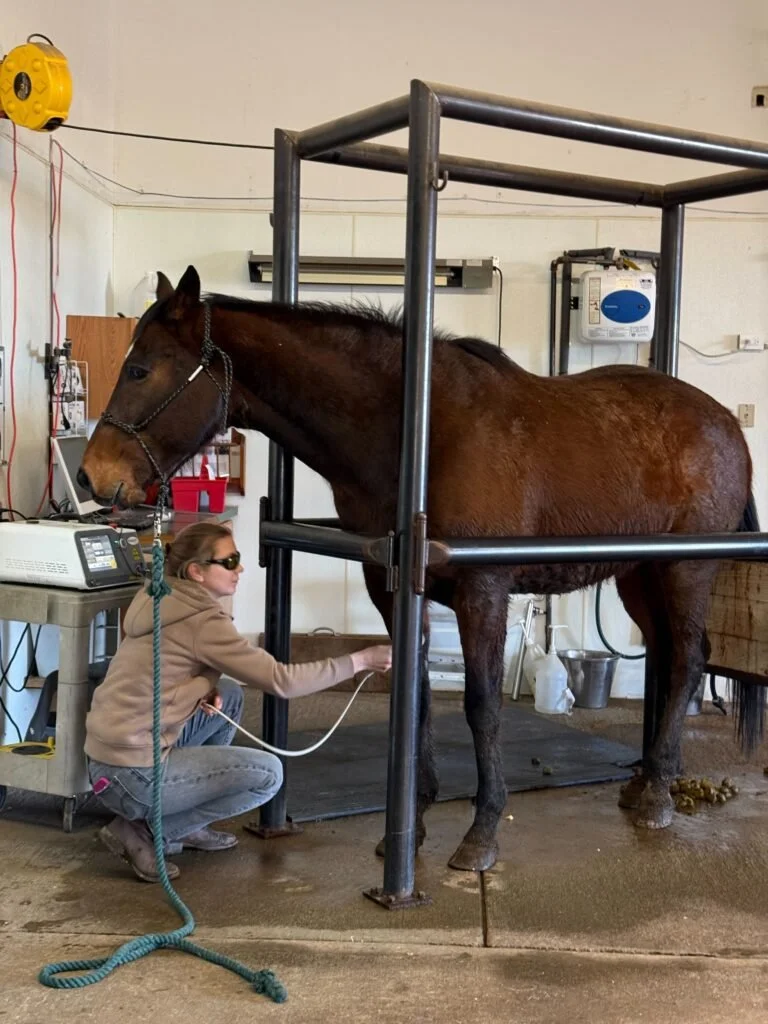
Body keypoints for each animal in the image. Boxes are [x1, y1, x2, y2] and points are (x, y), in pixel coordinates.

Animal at [79, 265, 762, 873]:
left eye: (140, 368)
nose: (90, 476)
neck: (420, 433)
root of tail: (724, 423)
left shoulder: (484, 592)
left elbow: (482, 705)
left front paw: (481, 831)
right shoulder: (393, 589)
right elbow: (420, 694)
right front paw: (413, 820)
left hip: (684, 572)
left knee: (688, 661)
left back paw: (658, 796)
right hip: (638, 575)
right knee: (672, 659)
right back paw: (647, 780)